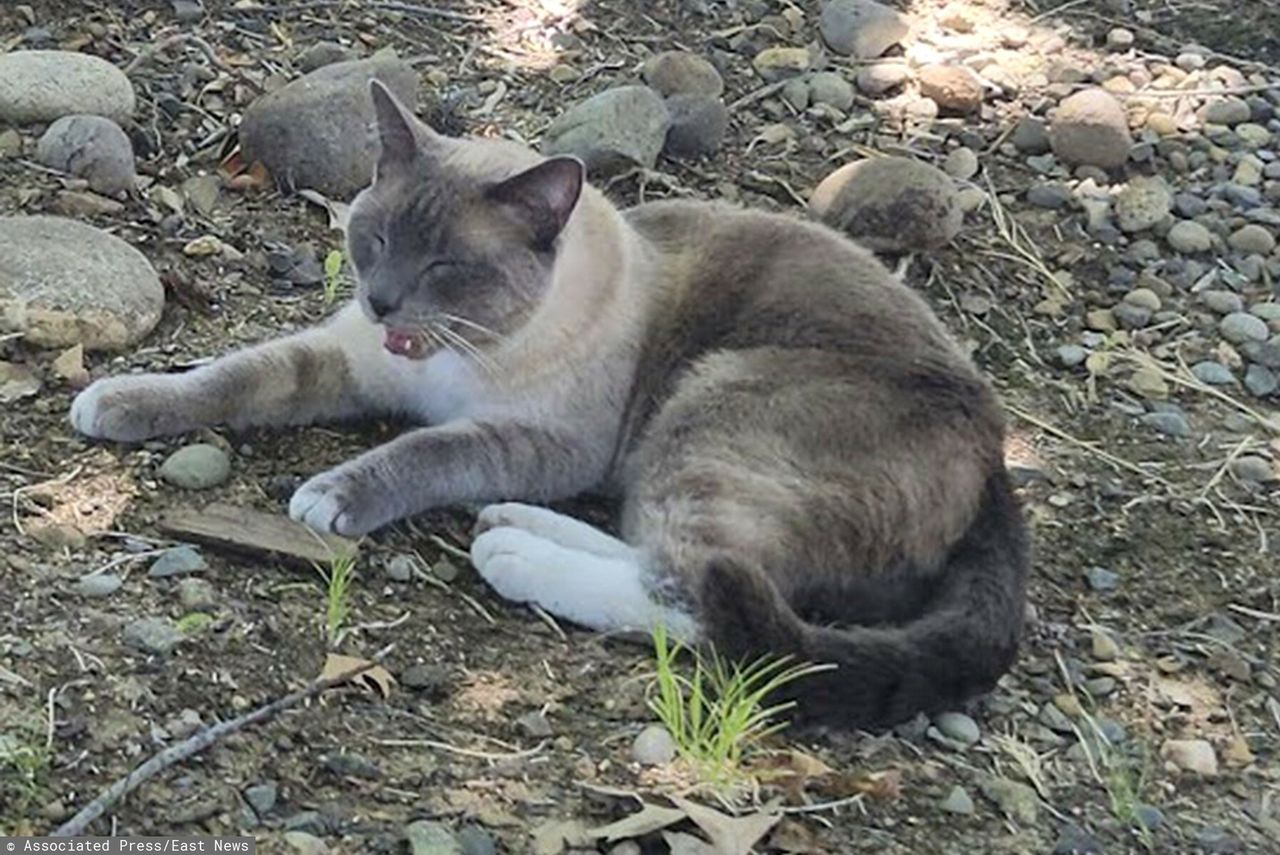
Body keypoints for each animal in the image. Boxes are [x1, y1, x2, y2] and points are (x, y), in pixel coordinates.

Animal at [70, 81, 1029, 727]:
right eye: (373, 238)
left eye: (445, 266)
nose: (381, 301)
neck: (447, 357)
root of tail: (996, 455)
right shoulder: (347, 358)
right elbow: (231, 377)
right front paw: (114, 400)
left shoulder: (539, 441)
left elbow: (422, 452)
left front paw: (332, 496)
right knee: (674, 558)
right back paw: (513, 525)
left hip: (710, 408)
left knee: (702, 597)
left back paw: (512, 553)